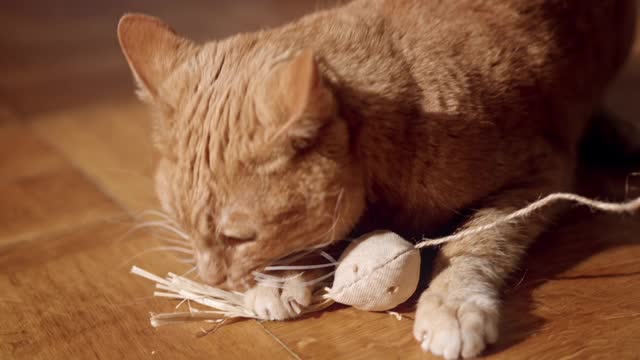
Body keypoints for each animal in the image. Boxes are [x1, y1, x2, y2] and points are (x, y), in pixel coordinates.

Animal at [116, 1, 636, 358]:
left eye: (239, 237)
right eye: (181, 224)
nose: (211, 278)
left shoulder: (541, 175)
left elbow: (474, 242)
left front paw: (452, 301)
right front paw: (285, 277)